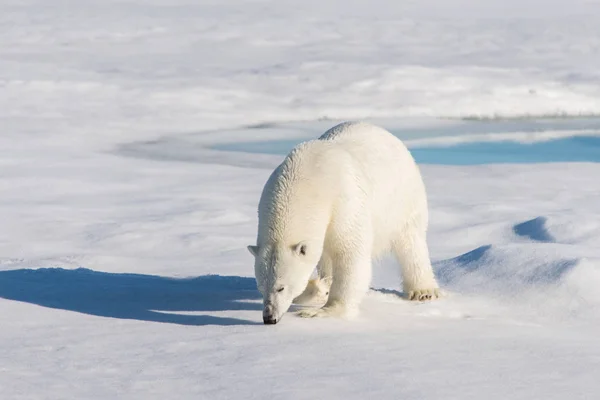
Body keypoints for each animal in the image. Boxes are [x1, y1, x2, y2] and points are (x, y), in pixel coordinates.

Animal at [246, 120, 438, 324]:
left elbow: (350, 253)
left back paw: (423, 291)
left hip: (403, 198)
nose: (269, 317)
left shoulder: (344, 202)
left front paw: (324, 310)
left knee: (410, 242)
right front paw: (317, 290)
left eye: (281, 287)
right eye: (261, 287)